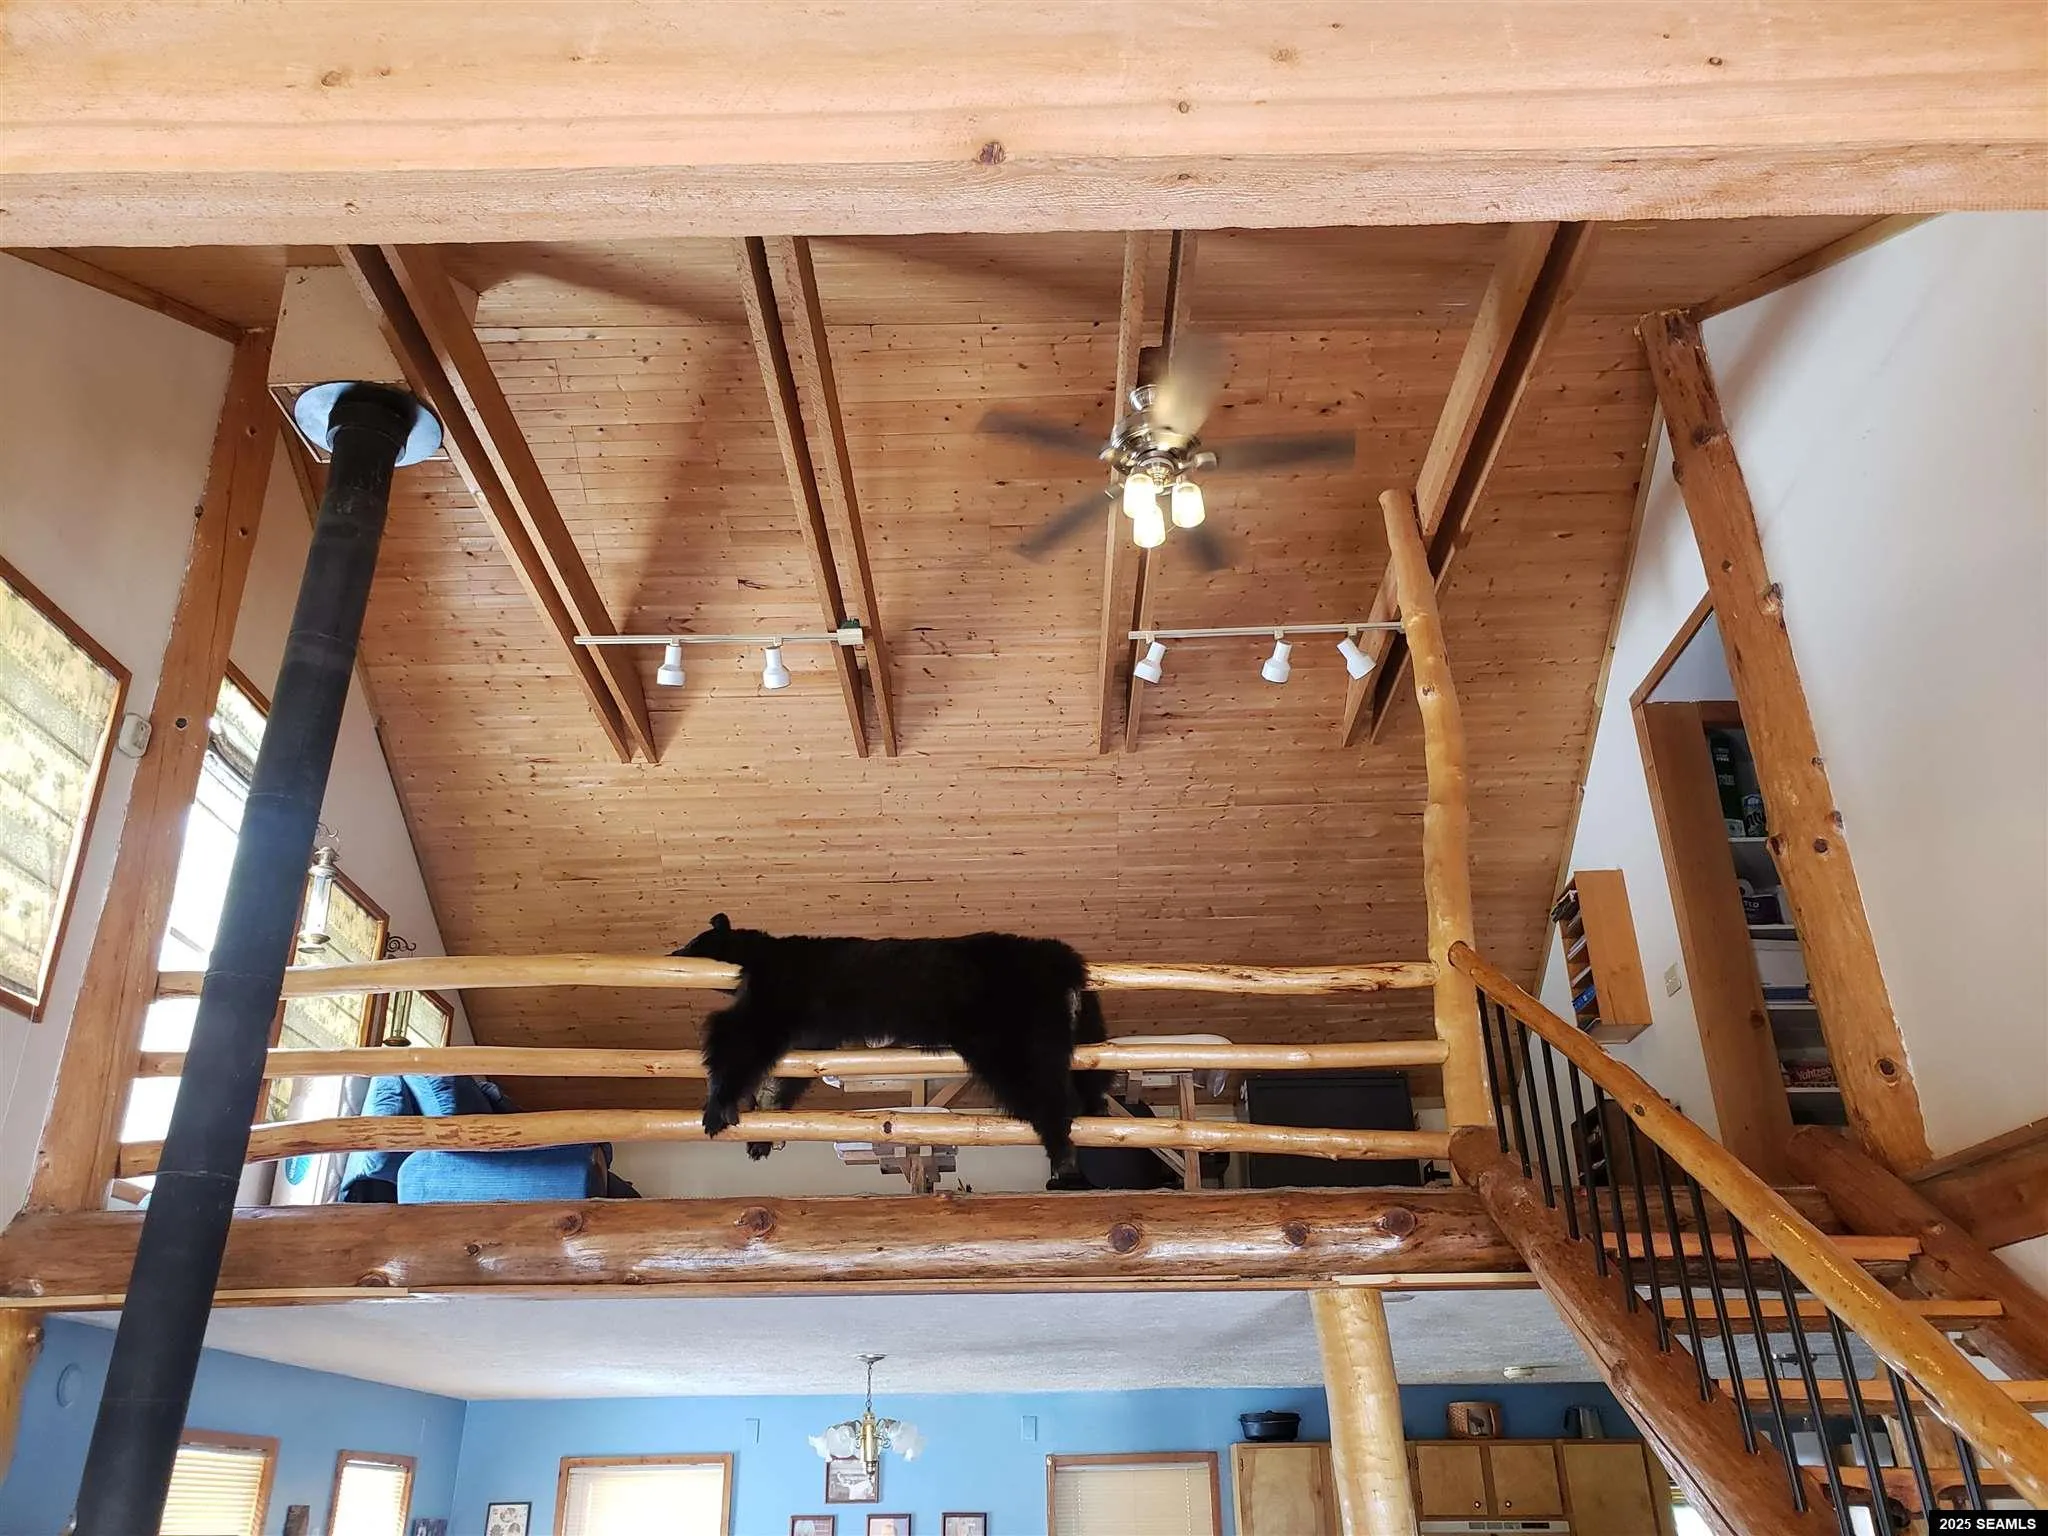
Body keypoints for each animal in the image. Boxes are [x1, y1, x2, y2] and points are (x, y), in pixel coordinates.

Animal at [677, 915, 1111, 1173]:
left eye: (694, 940)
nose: (673, 950)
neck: (762, 954)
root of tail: (1061, 961)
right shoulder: (811, 1031)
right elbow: (793, 1068)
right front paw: (763, 1130)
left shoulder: (778, 995)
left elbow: (735, 1037)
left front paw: (718, 1107)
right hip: (1065, 1022)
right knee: (1081, 1075)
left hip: (1011, 1026)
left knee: (1040, 1084)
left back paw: (1061, 1148)